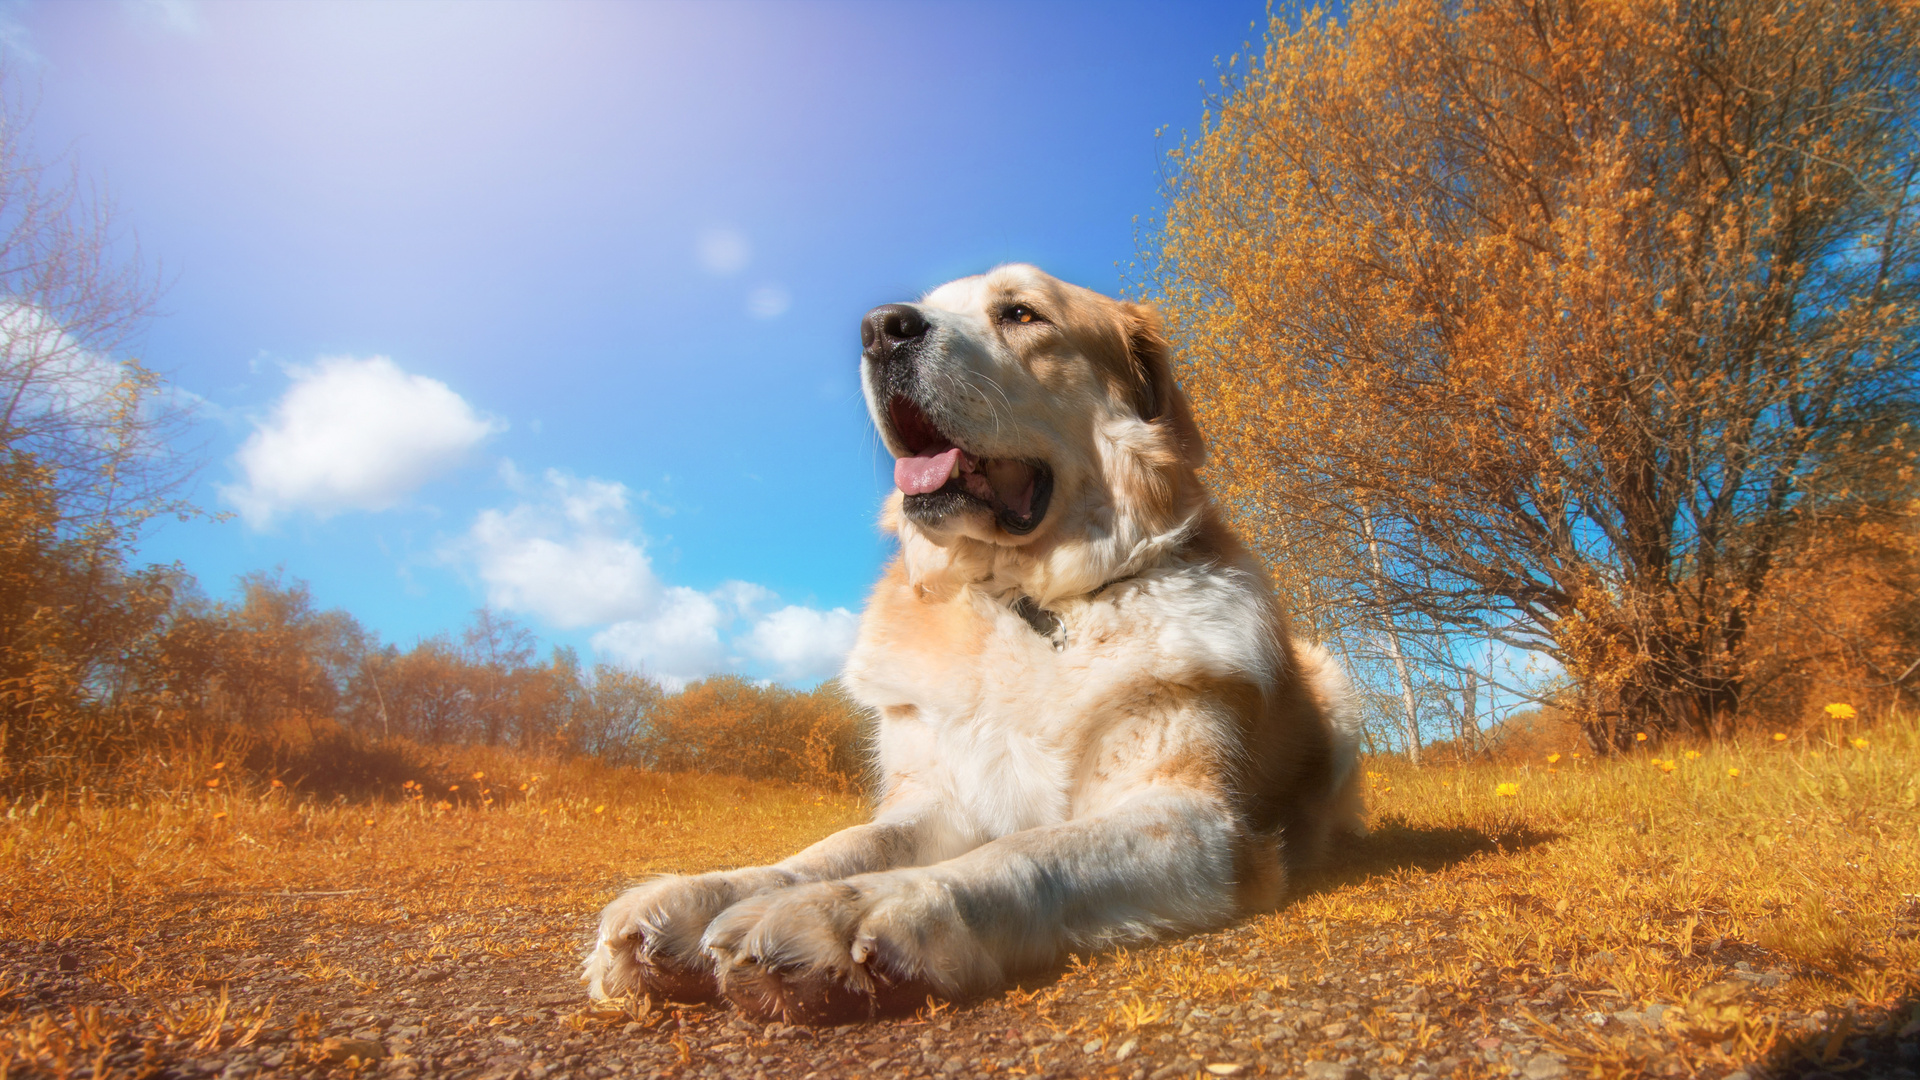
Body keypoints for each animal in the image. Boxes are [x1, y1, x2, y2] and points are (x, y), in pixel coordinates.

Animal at [583, 265, 1367, 1022]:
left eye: (1021, 313)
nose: (881, 328)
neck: (1025, 604)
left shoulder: (1196, 820)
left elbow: (1024, 850)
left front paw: (852, 911)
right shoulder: (934, 797)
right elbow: (843, 845)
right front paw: (709, 893)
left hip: (1330, 680)